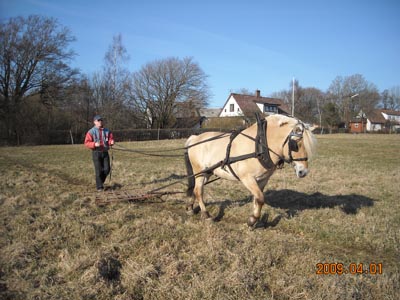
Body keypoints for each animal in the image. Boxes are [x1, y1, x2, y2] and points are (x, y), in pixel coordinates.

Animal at [184, 113, 316, 226]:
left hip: (207, 172)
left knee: (195, 189)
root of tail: (194, 138)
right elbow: (261, 198)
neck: (260, 146)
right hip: (199, 172)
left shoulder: (262, 180)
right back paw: (206, 215)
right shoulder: (247, 178)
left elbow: (257, 199)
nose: (303, 172)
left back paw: (190, 208)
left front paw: (255, 219)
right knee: (198, 191)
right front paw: (252, 220)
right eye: (296, 144)